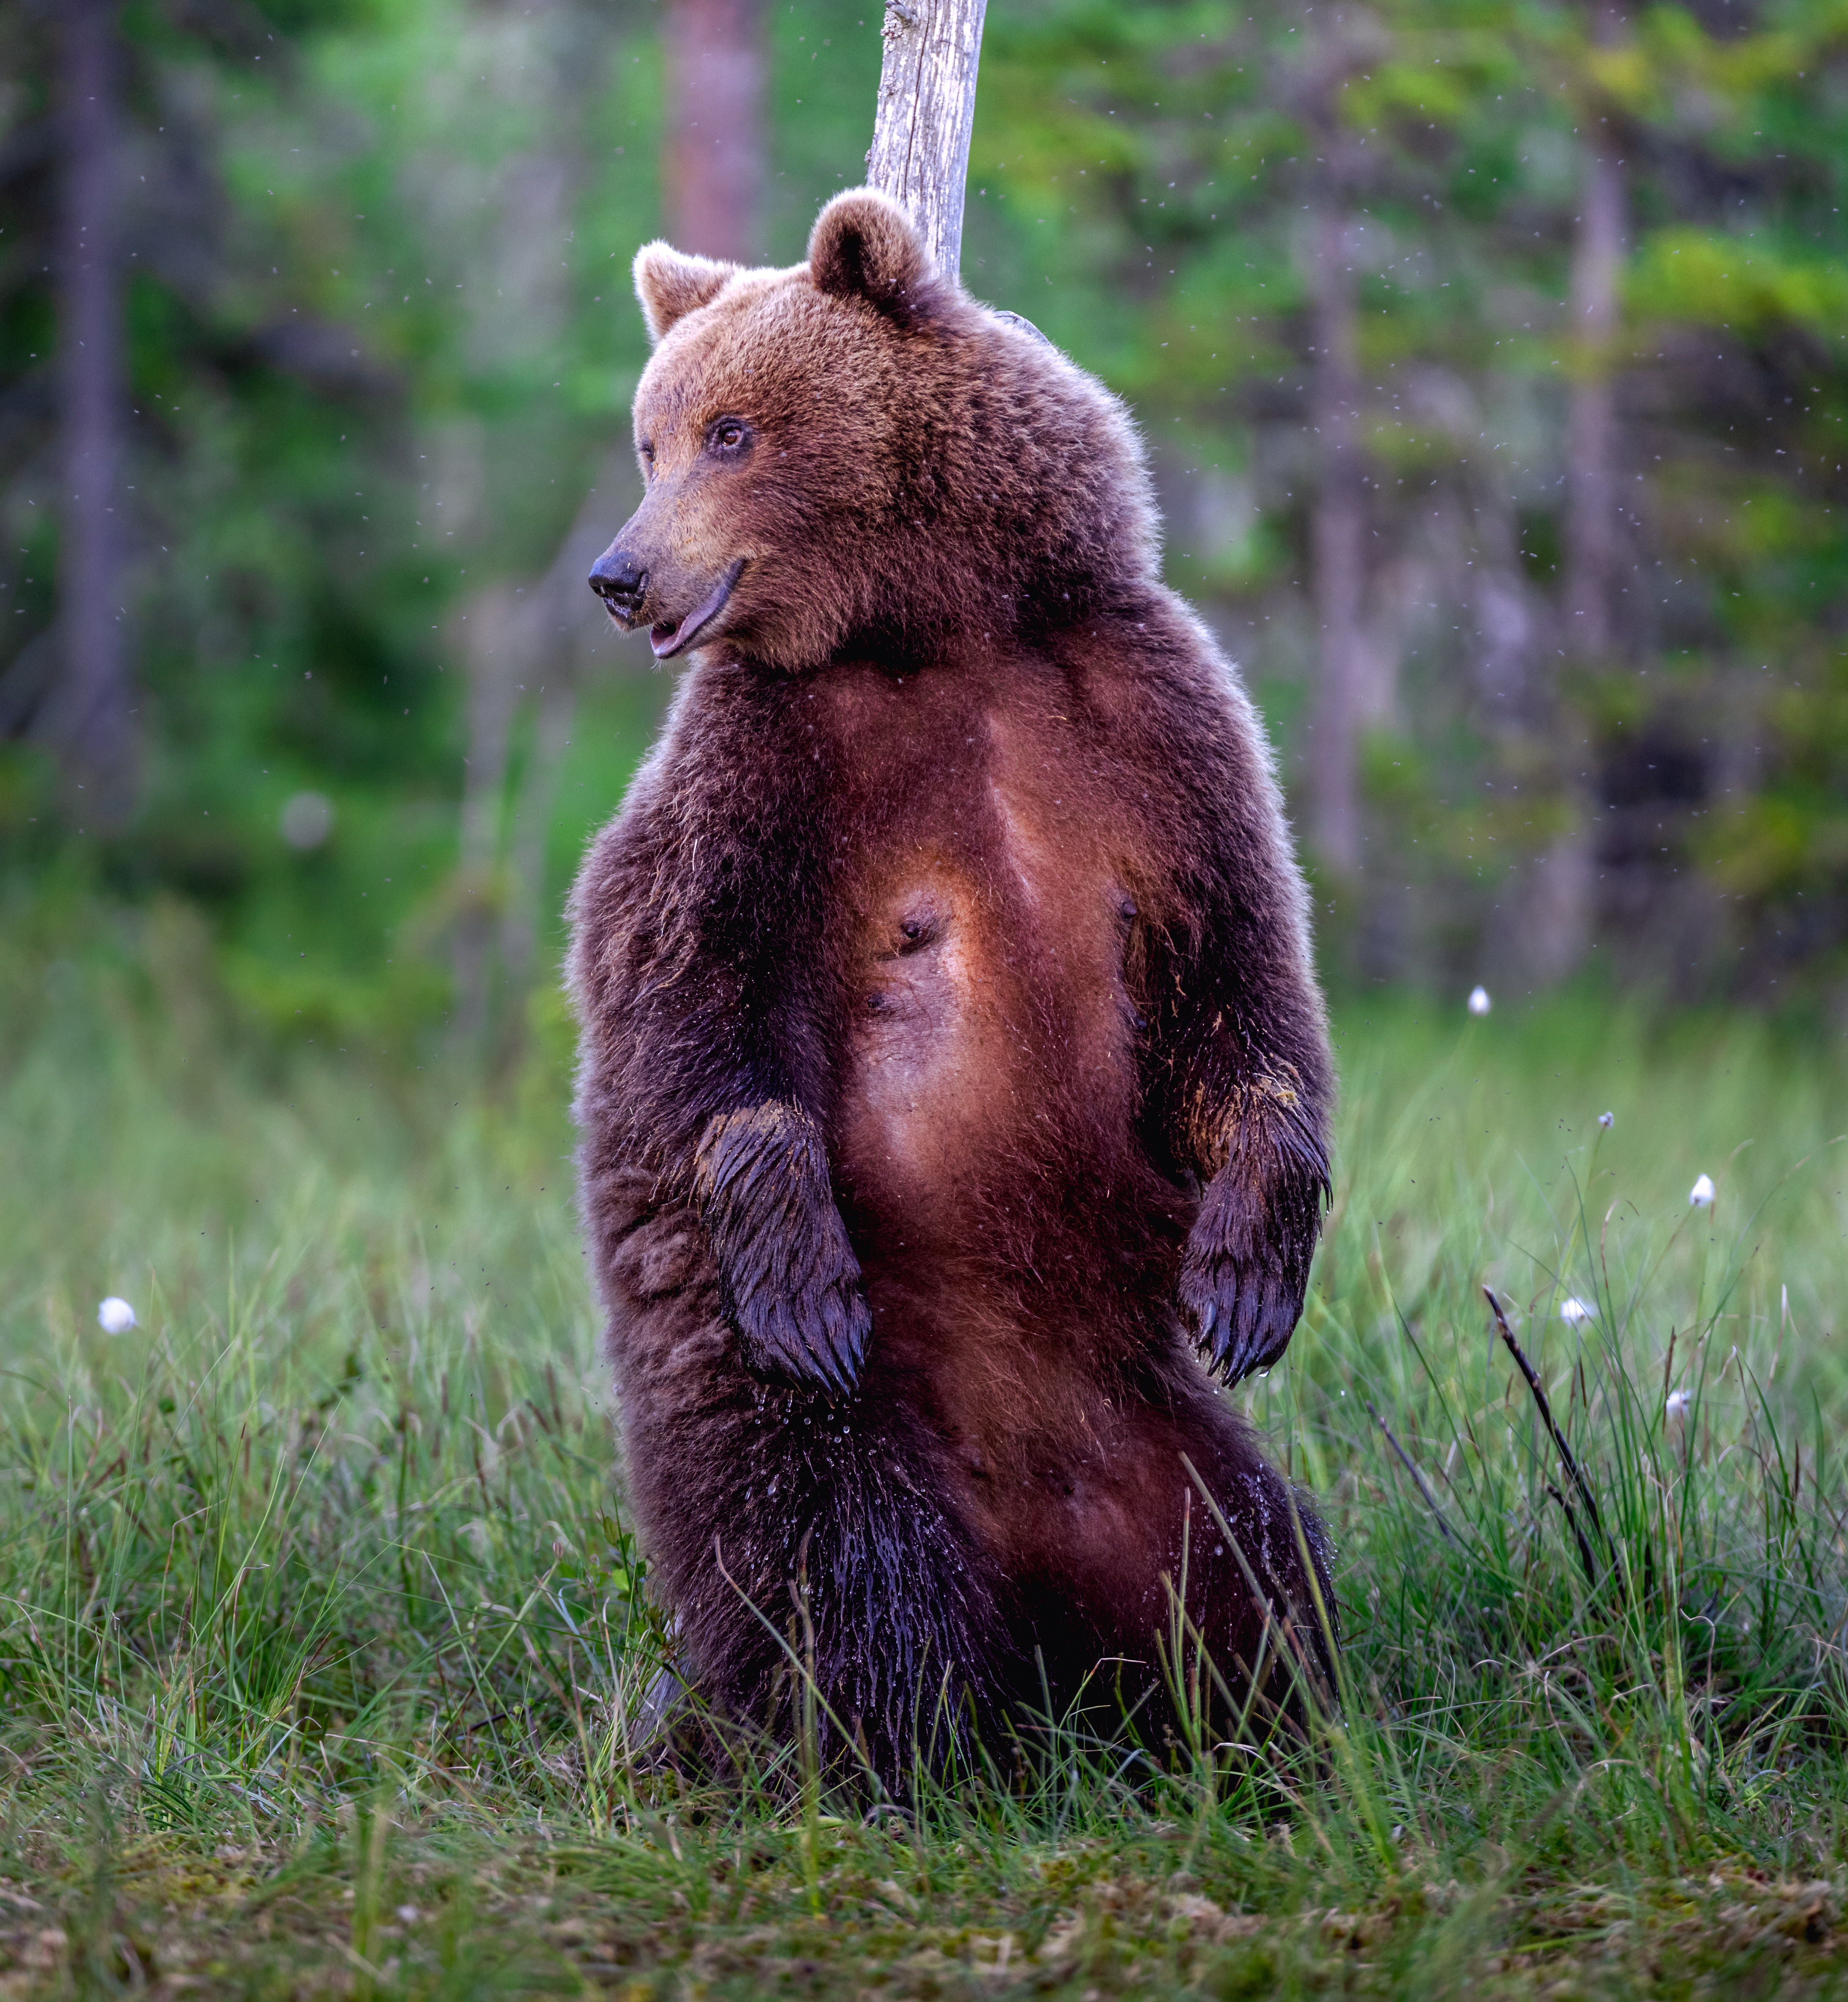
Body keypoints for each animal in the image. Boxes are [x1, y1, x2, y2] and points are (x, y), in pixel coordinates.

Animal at [569, 188, 1337, 1788]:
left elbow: (1238, 978)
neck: (940, 625)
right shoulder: (771, 762)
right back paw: (882, 1754)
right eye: (650, 436)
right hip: (832, 1427)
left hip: (1158, 1442)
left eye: (730, 429)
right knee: (847, 1578)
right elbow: (695, 987)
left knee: (1252, 1573)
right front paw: (794, 1267)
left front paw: (1249, 1272)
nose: (620, 575)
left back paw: (1266, 1730)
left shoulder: (1148, 717)